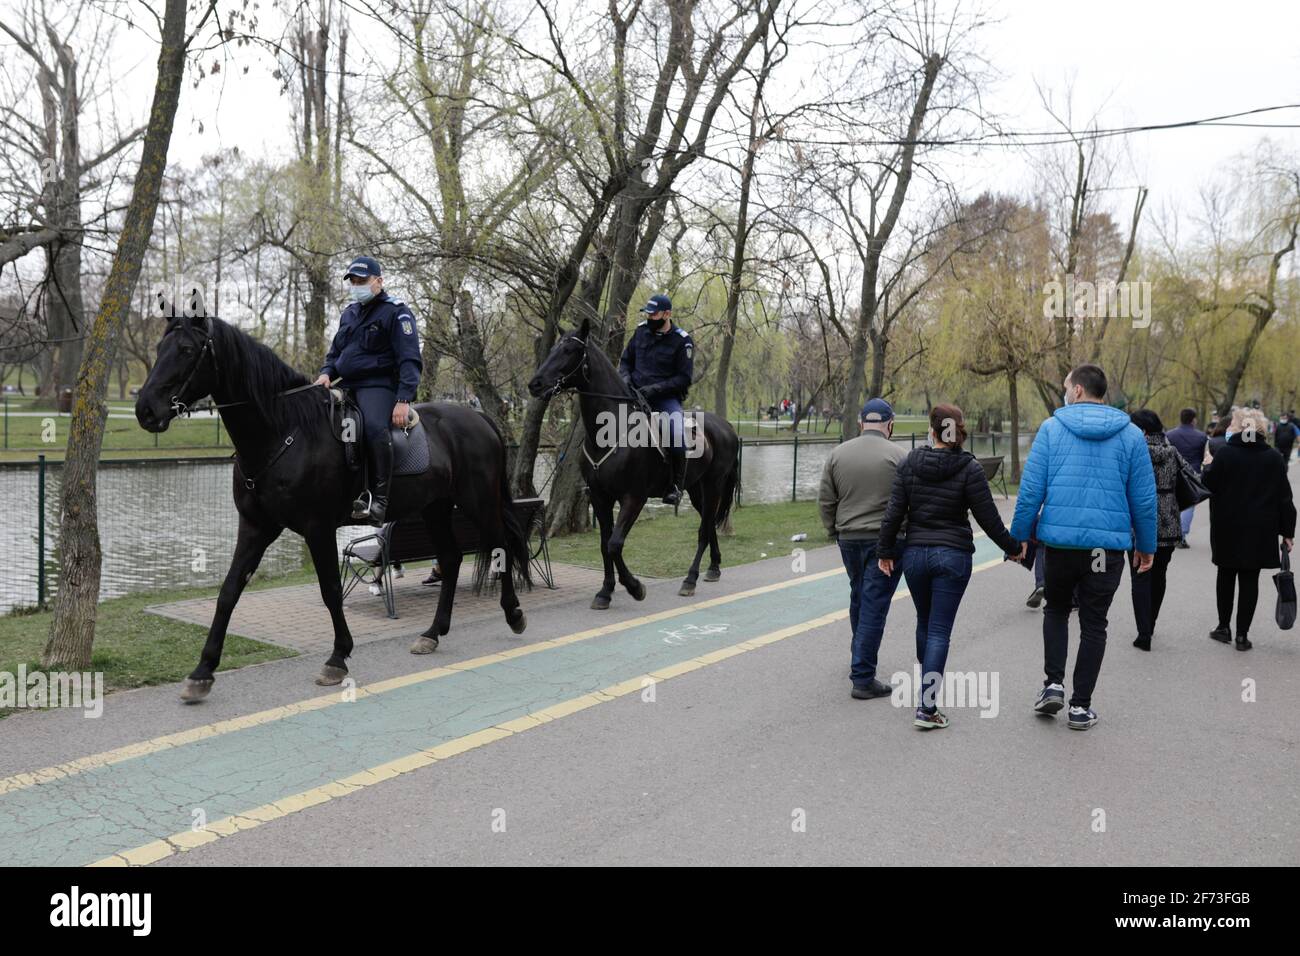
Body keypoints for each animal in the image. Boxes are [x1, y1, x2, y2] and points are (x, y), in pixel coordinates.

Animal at [137, 310, 527, 697]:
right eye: (158, 348)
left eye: (187, 350)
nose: (145, 409)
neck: (284, 431)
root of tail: (480, 417)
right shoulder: (255, 527)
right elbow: (229, 591)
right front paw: (203, 670)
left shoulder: (318, 528)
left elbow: (330, 591)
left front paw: (338, 657)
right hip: (436, 508)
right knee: (450, 558)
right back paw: (432, 634)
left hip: (477, 503)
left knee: (501, 546)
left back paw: (514, 614)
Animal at [522, 317, 738, 608]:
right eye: (554, 349)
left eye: (568, 351)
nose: (535, 384)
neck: (610, 430)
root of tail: (726, 426)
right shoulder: (599, 497)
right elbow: (604, 545)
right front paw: (605, 591)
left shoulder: (633, 498)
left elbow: (615, 544)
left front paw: (635, 587)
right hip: (696, 489)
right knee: (708, 522)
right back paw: (714, 568)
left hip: (713, 485)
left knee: (704, 529)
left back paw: (690, 580)